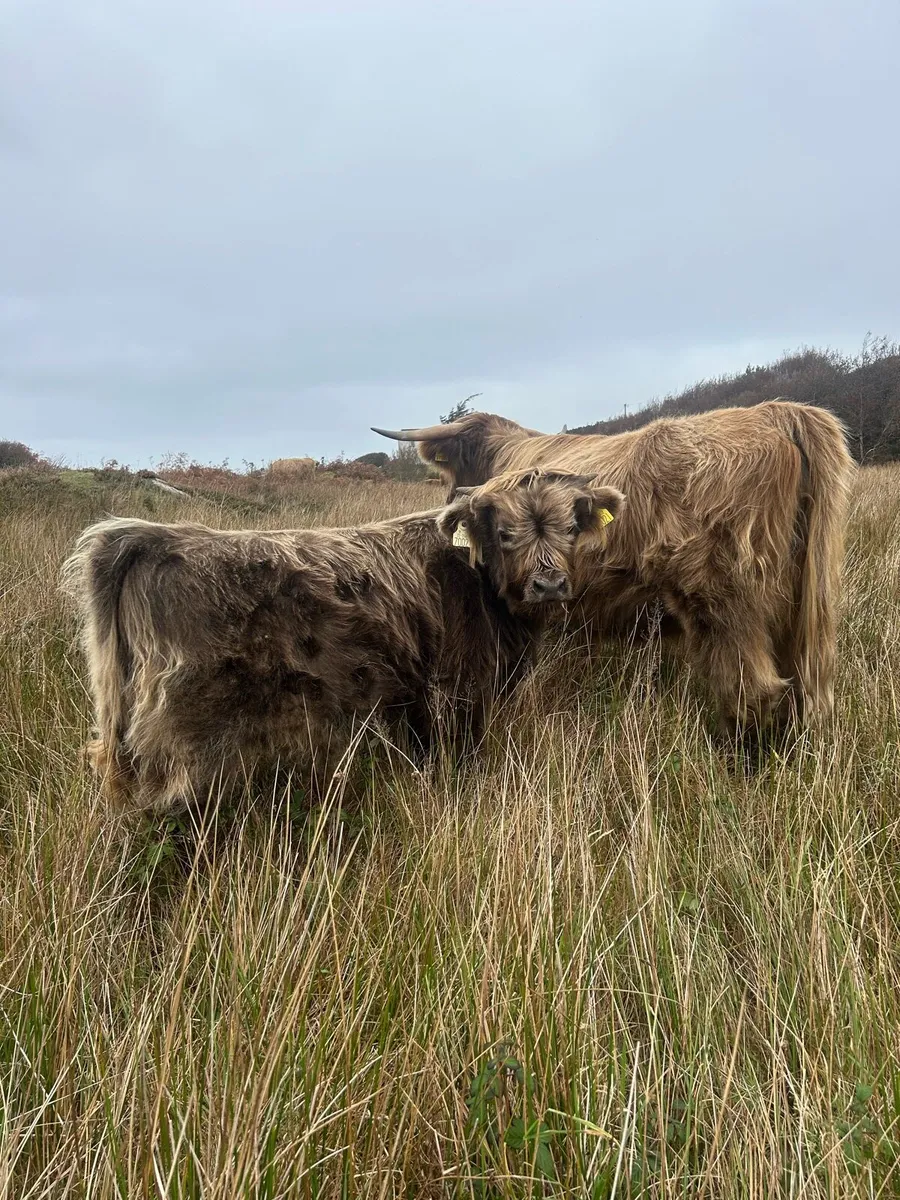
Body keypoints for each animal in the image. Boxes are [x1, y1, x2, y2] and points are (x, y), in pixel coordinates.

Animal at [61, 469, 624, 814]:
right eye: (505, 533)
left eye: (572, 527)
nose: (549, 584)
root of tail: (152, 536)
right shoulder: (460, 693)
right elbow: (460, 760)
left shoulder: (413, 699)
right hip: (185, 745)